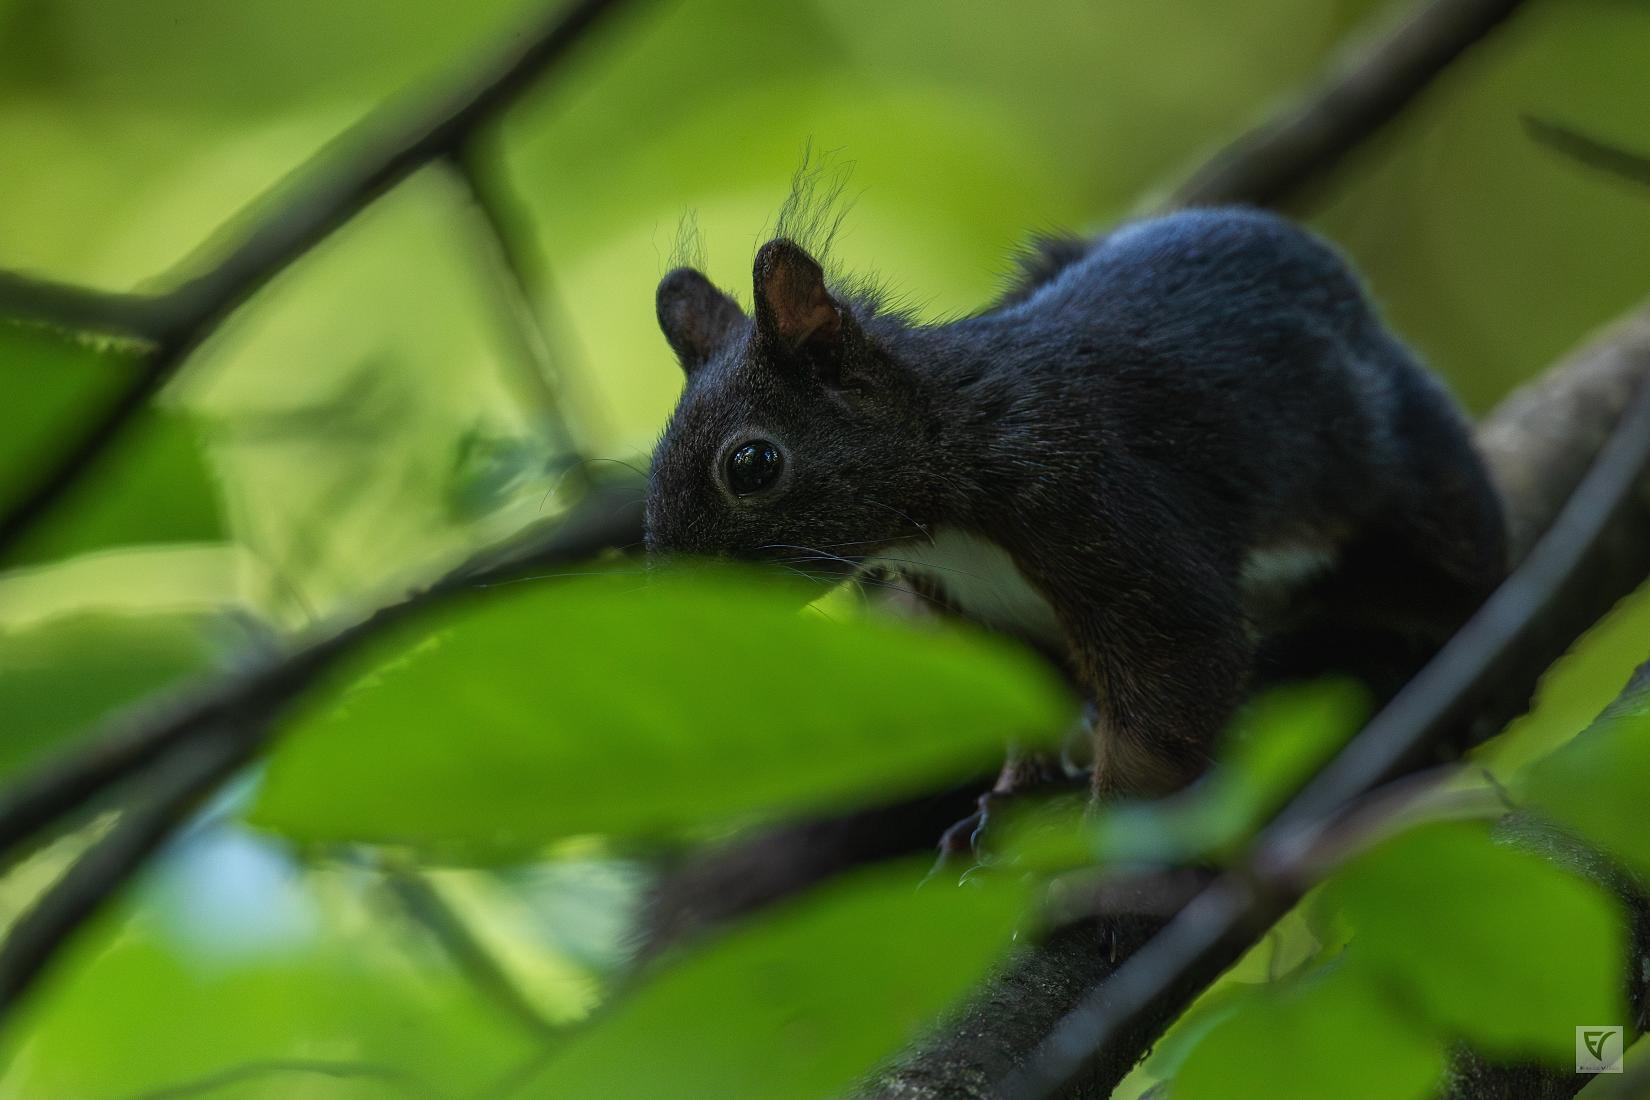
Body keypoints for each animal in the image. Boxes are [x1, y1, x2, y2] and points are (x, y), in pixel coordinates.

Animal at [640, 200, 1511, 801]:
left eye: (752, 464)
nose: (674, 596)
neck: (943, 518)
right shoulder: (989, 616)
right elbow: (1030, 708)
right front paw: (1007, 800)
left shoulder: (1103, 509)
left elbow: (1172, 684)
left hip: (1414, 484)